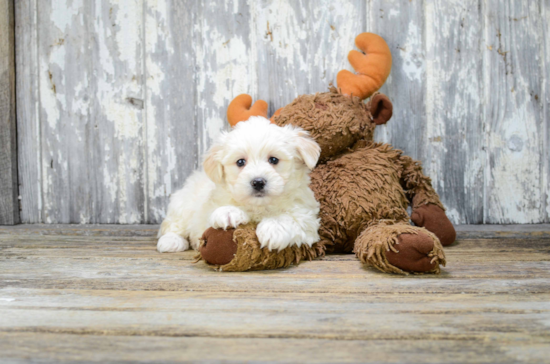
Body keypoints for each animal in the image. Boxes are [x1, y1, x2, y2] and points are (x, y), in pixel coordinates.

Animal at [157, 116, 322, 253]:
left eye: (274, 160)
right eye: (240, 162)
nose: (258, 182)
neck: (259, 207)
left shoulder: (307, 219)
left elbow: (291, 218)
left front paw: (273, 229)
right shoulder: (205, 215)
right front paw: (229, 212)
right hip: (181, 205)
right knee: (172, 226)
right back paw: (171, 241)